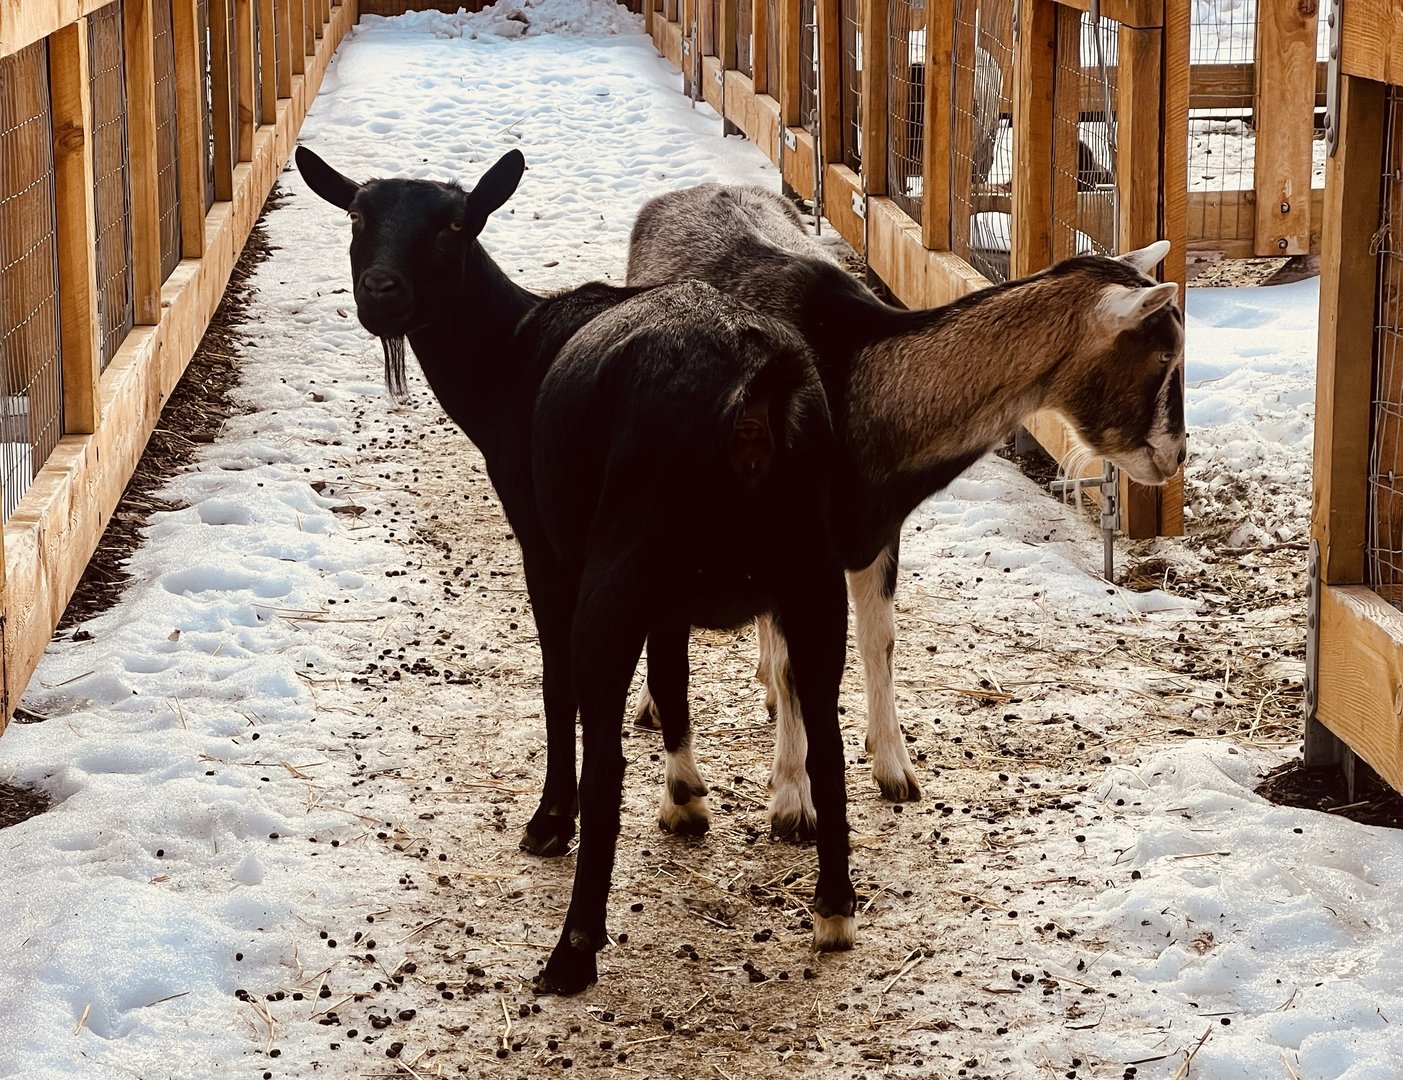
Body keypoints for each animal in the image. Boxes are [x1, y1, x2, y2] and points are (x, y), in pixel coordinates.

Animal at [293, 148, 856, 994]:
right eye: (358, 215)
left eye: (453, 224)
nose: (382, 292)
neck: (512, 354)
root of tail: (755, 396)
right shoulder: (668, 595)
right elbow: (671, 676)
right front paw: (686, 798)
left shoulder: (549, 549)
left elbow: (556, 686)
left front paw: (548, 821)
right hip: (810, 571)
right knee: (826, 733)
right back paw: (833, 913)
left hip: (620, 572)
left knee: (606, 755)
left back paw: (572, 950)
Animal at [625, 183, 1185, 838]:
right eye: (1161, 357)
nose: (1175, 454)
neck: (857, 380)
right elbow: (799, 665)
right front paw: (792, 801)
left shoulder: (878, 530)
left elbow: (880, 641)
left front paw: (894, 769)